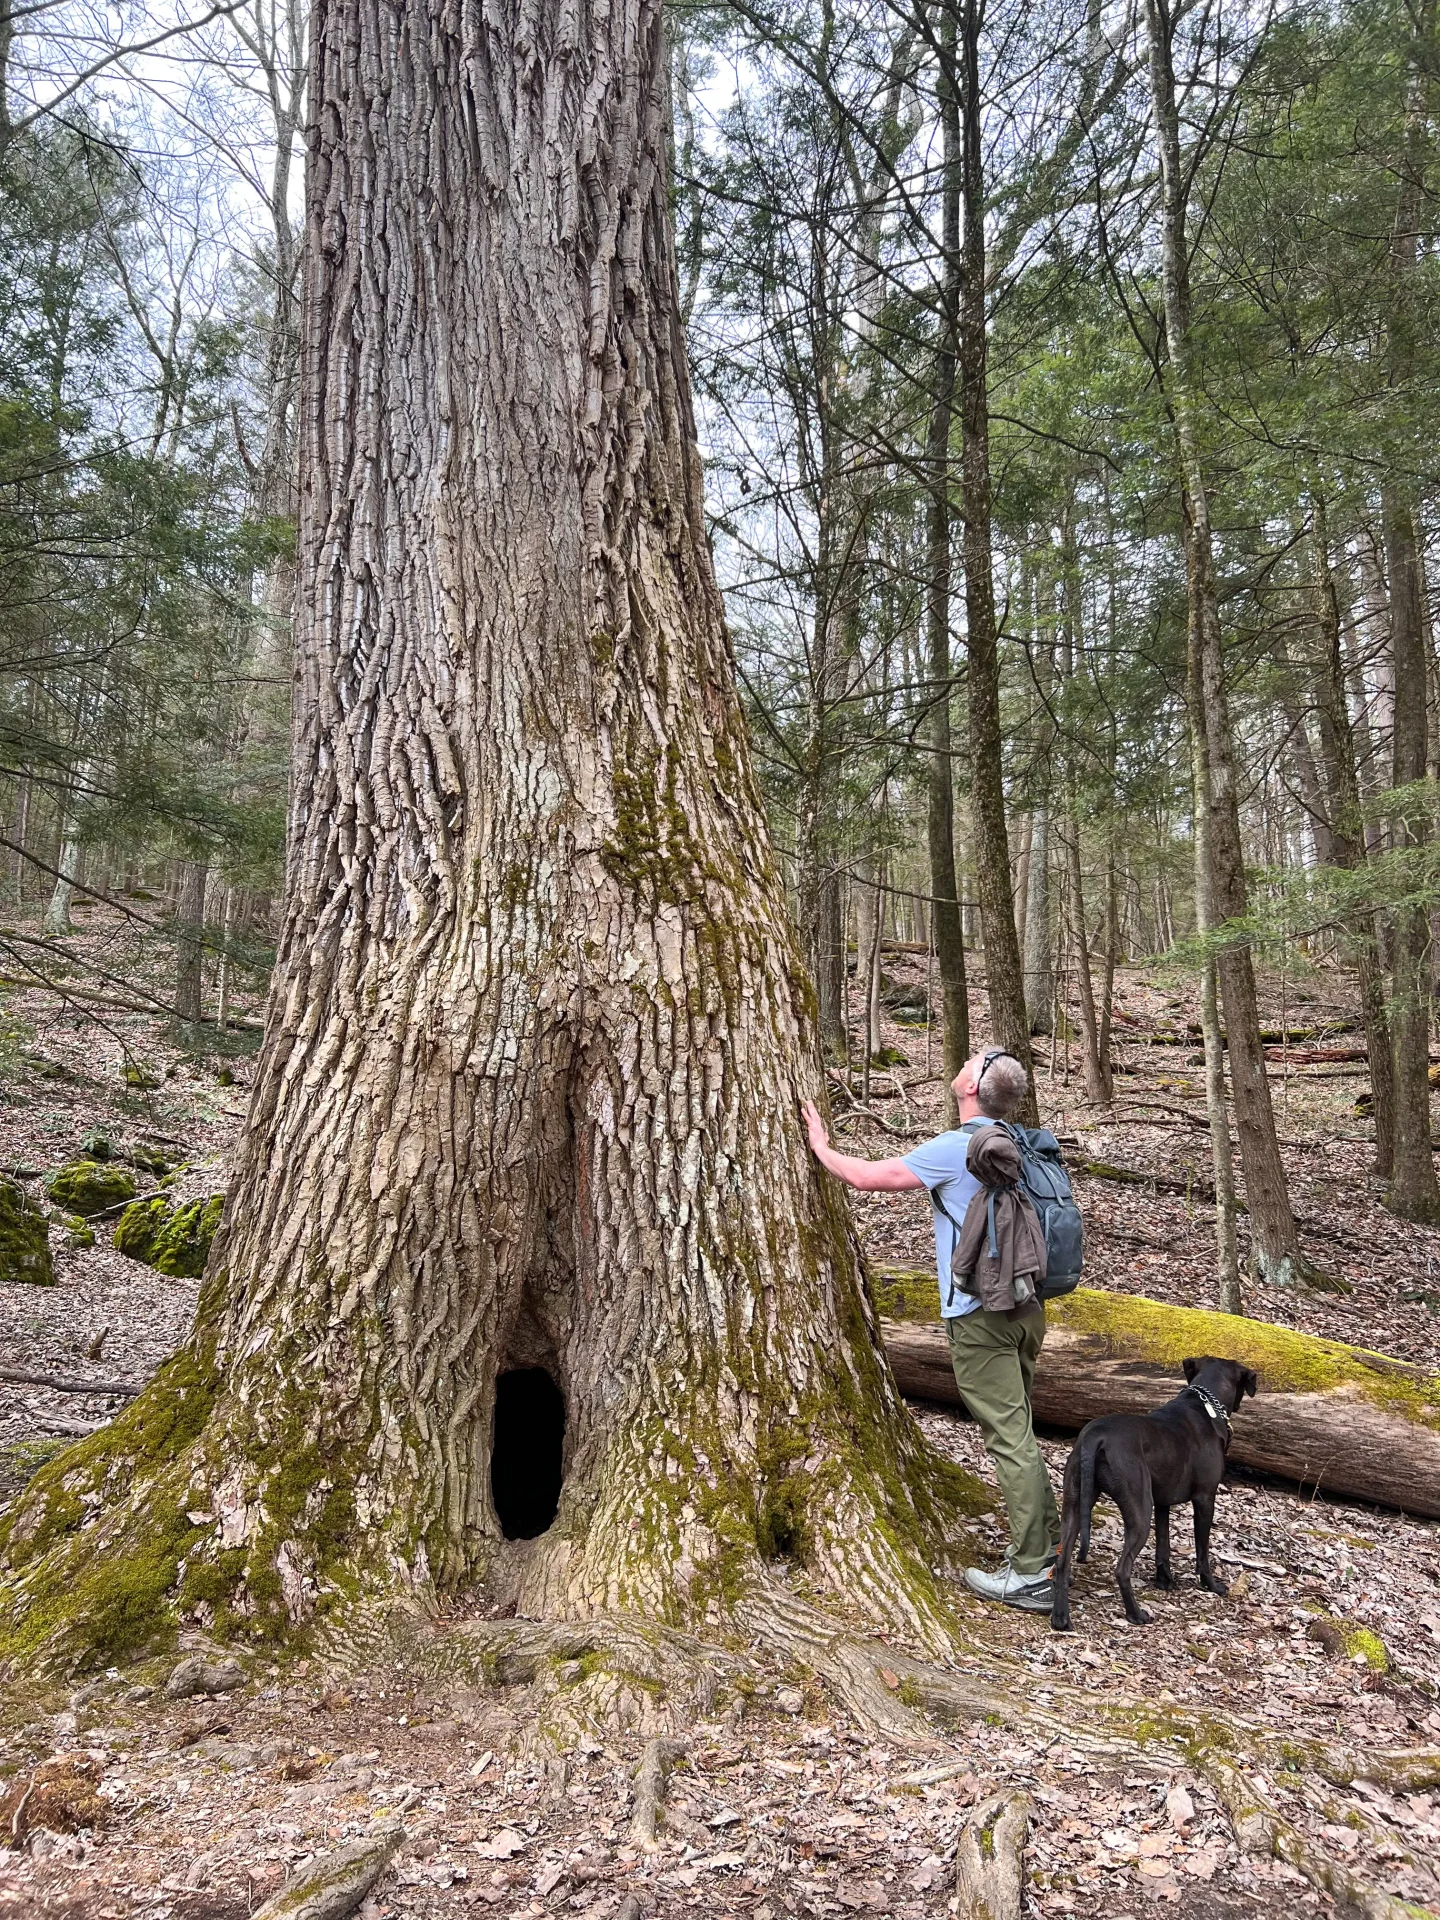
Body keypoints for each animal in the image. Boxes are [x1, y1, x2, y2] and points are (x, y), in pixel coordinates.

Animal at [1052, 1359, 1259, 1628]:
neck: (1204, 1406)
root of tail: (1095, 1437)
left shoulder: (1162, 1503)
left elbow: (1163, 1545)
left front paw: (1164, 1580)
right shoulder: (1205, 1499)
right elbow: (1202, 1553)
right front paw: (1211, 1585)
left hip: (1075, 1504)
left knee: (1062, 1562)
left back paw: (1061, 1618)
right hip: (1140, 1510)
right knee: (1122, 1569)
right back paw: (1136, 1614)